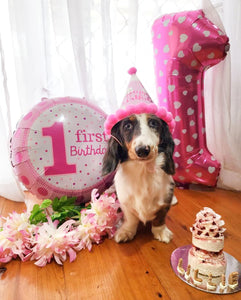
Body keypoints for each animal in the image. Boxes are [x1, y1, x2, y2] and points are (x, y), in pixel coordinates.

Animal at [102, 113, 176, 243]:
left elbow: (160, 219)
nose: (142, 150)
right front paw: (126, 231)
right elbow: (130, 219)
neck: (143, 172)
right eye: (127, 126)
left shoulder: (165, 201)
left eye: (153, 123)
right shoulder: (125, 203)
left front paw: (161, 232)